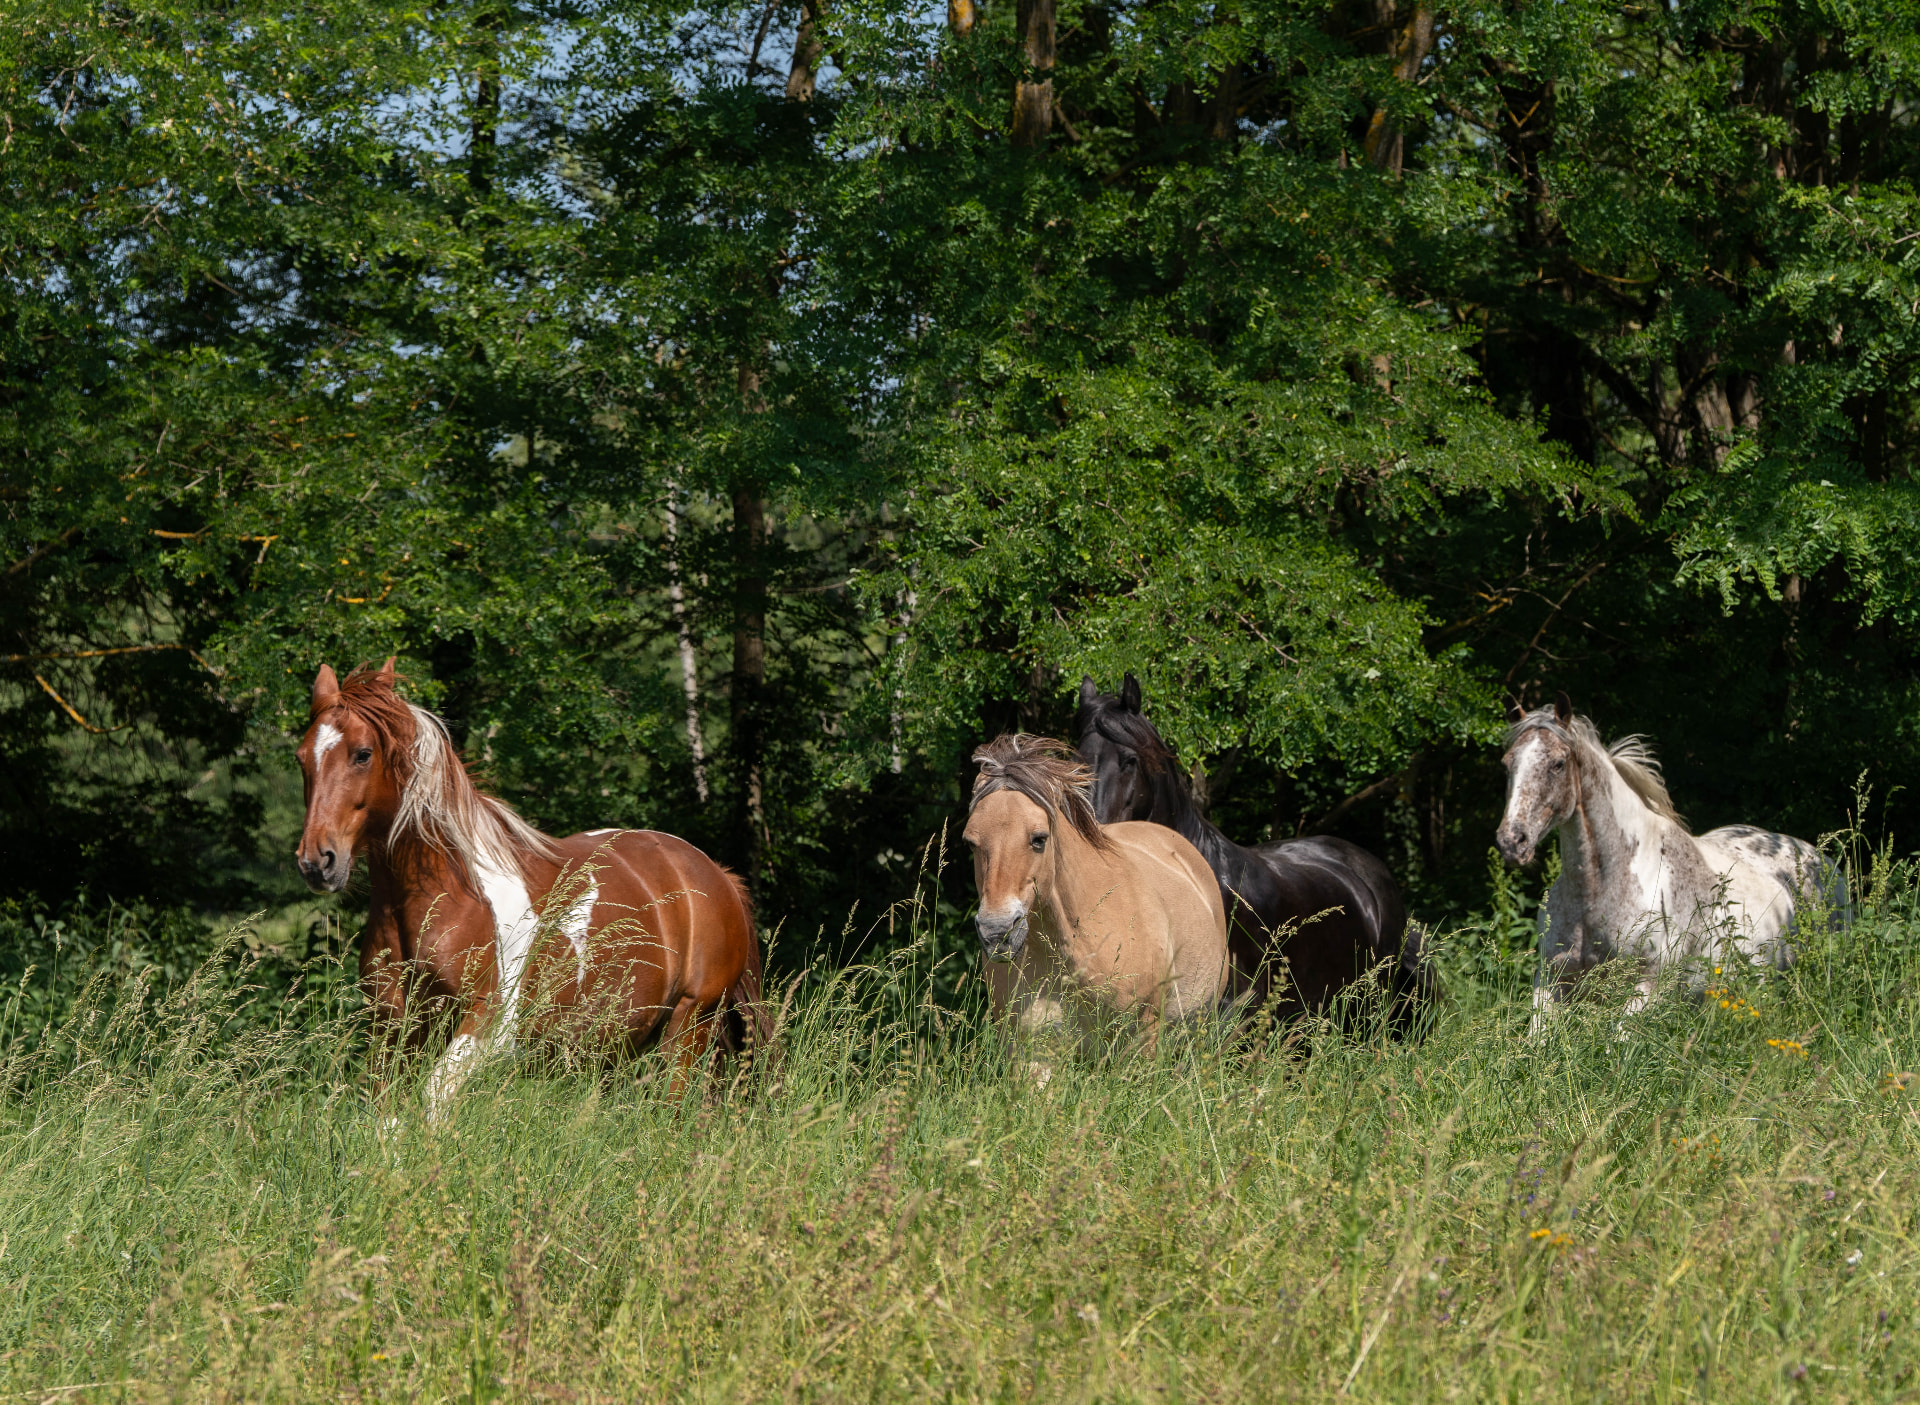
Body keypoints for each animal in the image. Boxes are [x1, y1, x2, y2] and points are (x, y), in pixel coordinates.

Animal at [294, 660, 766, 1117]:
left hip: (689, 1025)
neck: (444, 895)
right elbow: (388, 1116)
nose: (317, 861)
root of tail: (717, 874)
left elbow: (432, 1100)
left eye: (363, 754)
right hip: (618, 1042)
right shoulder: (394, 1026)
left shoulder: (489, 1025)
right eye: (302, 759)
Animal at [1496, 693, 1839, 1025]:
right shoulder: (1550, 982)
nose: (1512, 841)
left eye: (1558, 763)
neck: (1596, 892)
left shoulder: (1646, 989)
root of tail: (1818, 860)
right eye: (1507, 764)